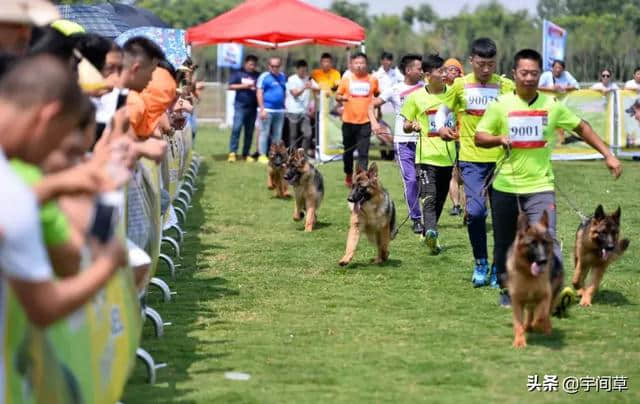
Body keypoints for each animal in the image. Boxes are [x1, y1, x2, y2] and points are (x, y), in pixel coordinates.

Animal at [504, 211, 556, 348]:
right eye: (532, 243)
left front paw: (539, 325)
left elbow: (541, 316)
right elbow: (518, 325)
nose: (543, 260)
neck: (529, 275)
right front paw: (519, 341)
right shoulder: (517, 302)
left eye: (545, 242)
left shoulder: (546, 296)